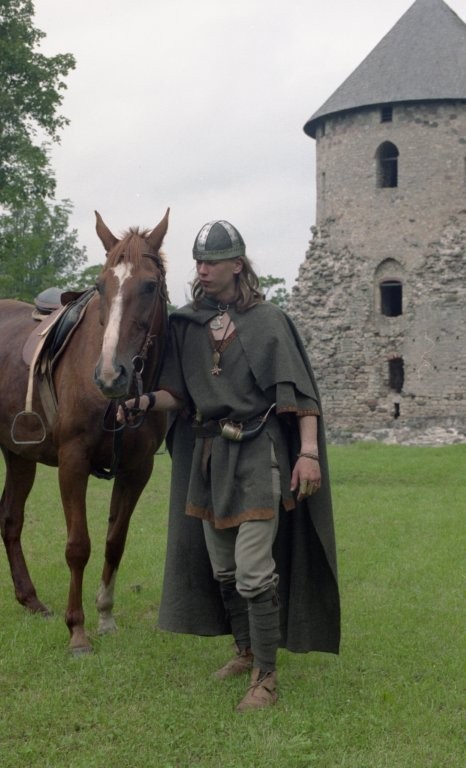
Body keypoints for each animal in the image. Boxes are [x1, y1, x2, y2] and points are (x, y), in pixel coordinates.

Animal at [0, 209, 169, 653]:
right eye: (100, 285)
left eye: (151, 285)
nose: (110, 375)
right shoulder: (72, 461)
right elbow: (78, 546)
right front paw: (76, 630)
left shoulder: (137, 469)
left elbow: (114, 541)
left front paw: (105, 616)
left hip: (19, 456)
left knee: (10, 520)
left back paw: (31, 600)